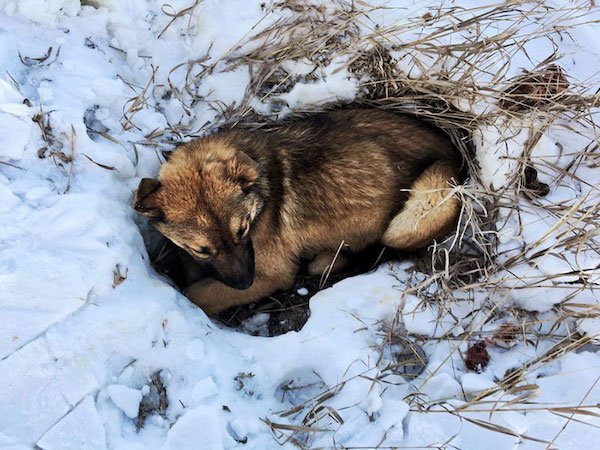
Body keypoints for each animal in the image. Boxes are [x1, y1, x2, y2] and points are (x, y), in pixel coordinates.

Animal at [136, 108, 462, 312]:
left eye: (242, 231)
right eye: (202, 249)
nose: (244, 284)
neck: (263, 193)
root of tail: (454, 153)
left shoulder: (273, 274)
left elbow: (199, 293)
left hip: (419, 212)